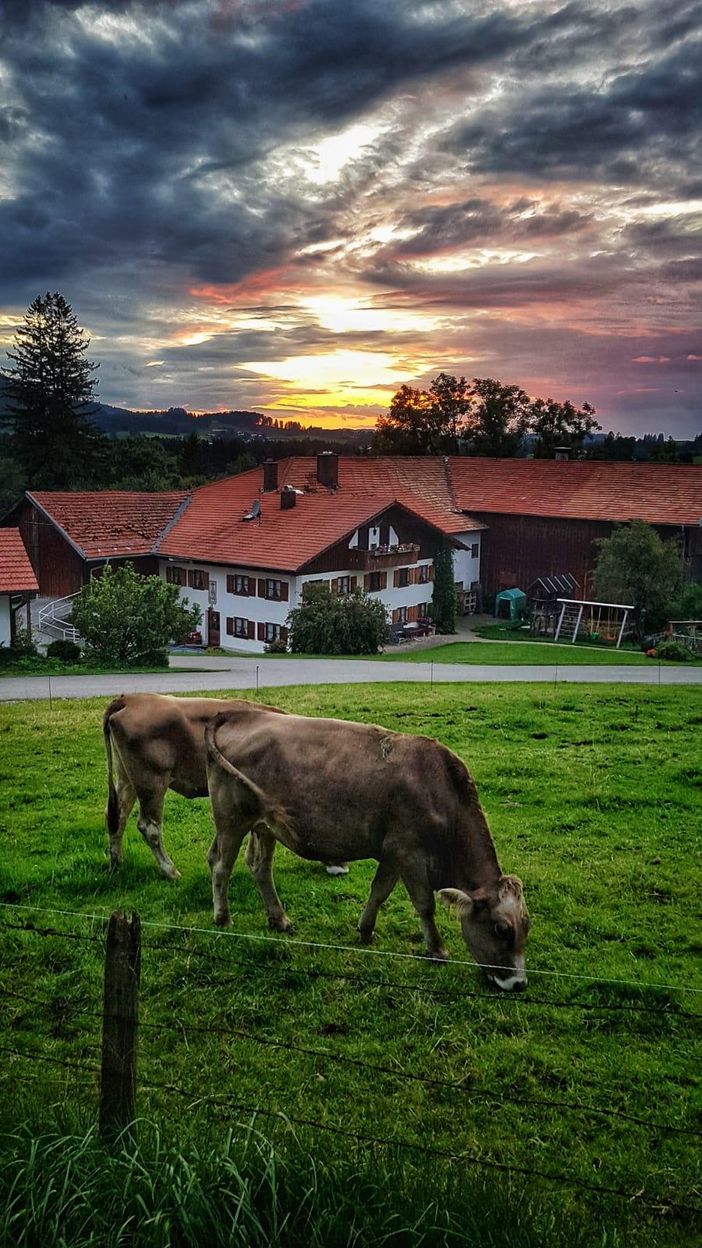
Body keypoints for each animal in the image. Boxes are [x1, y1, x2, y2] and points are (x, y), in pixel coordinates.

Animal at [202, 708, 524, 988]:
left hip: (264, 827)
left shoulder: (392, 854)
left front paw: (366, 930)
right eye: (501, 929)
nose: (519, 984)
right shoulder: (409, 855)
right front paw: (437, 949)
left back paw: (280, 919)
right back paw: (223, 918)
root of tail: (242, 712)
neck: (440, 794)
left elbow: (379, 892)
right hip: (231, 819)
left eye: (527, 926)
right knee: (221, 865)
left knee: (260, 868)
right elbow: (424, 905)